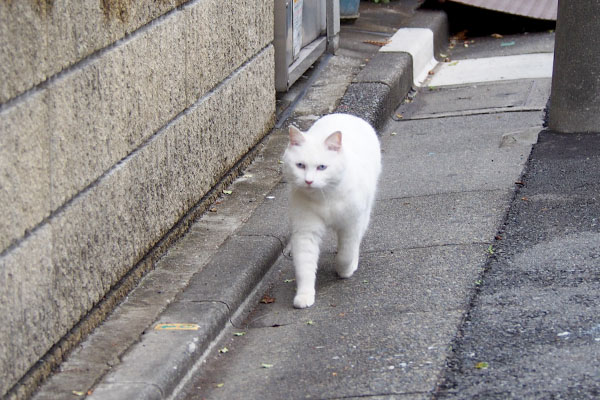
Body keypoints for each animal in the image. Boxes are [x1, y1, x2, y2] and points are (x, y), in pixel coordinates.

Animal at [284, 113, 382, 310]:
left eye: (322, 167)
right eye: (300, 165)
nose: (308, 181)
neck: (324, 197)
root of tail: (346, 114)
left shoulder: (351, 225)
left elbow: (346, 253)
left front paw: (344, 270)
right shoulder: (306, 231)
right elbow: (304, 266)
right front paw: (304, 296)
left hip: (364, 213)